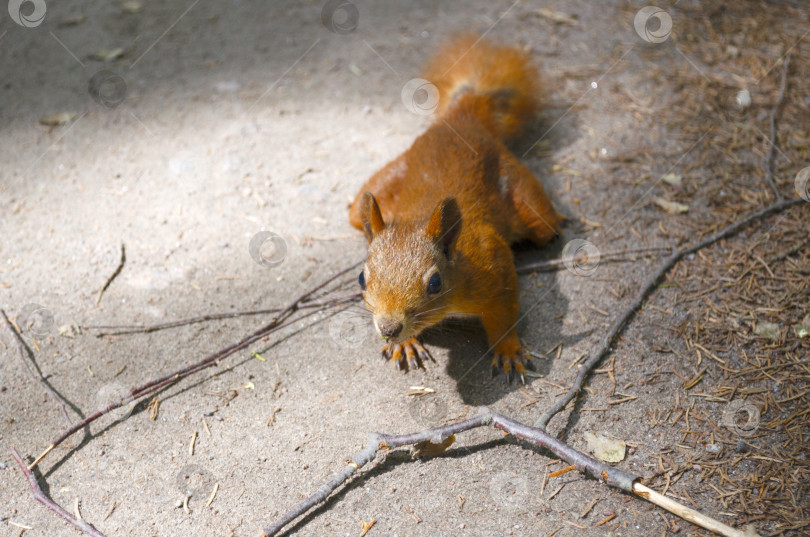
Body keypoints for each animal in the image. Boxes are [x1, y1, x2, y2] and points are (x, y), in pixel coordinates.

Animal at [348, 35, 560, 384]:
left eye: (434, 282)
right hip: (371, 195)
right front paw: (405, 344)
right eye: (361, 279)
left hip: (531, 208)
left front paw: (509, 350)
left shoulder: (494, 263)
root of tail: (460, 118)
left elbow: (505, 314)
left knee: (546, 225)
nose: (389, 328)